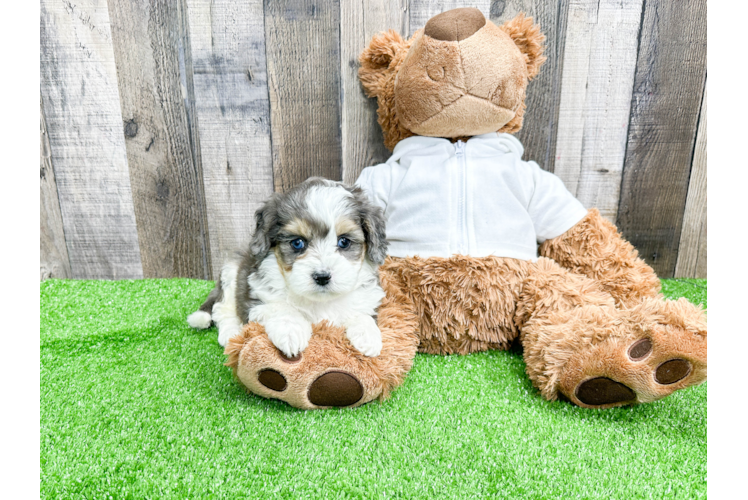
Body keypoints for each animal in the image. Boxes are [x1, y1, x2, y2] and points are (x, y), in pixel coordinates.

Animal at [187, 178, 388, 358]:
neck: (319, 302)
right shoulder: (258, 298)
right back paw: (232, 333)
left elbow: (361, 312)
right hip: (231, 273)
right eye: (297, 243)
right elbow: (282, 308)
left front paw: (368, 335)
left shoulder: (366, 297)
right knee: (221, 309)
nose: (322, 277)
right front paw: (291, 333)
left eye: (344, 242)